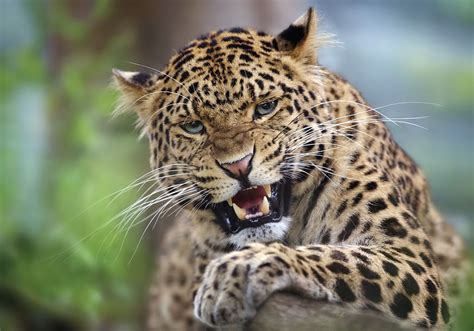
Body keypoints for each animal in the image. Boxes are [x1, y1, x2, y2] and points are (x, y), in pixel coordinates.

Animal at [112, 7, 466, 331]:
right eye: (193, 126)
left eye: (265, 107)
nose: (238, 165)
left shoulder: (410, 258)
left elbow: (336, 256)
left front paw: (239, 269)